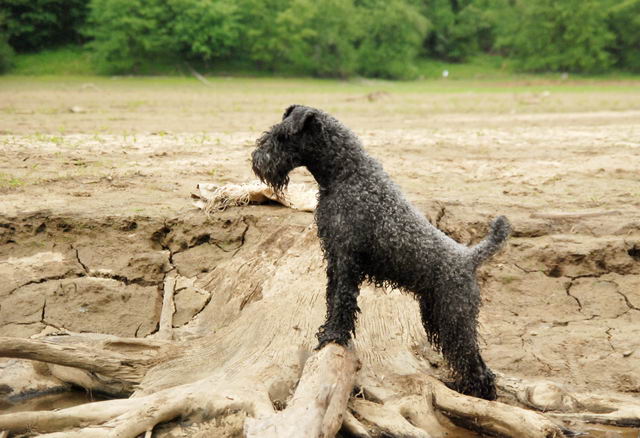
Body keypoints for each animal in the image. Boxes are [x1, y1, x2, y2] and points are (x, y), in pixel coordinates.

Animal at [250, 104, 510, 398]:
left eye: (282, 136)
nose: (256, 160)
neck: (345, 173)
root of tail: (469, 258)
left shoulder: (348, 258)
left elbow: (343, 300)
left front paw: (333, 337)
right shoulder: (335, 258)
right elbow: (332, 298)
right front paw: (327, 332)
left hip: (455, 317)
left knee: (474, 362)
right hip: (436, 315)